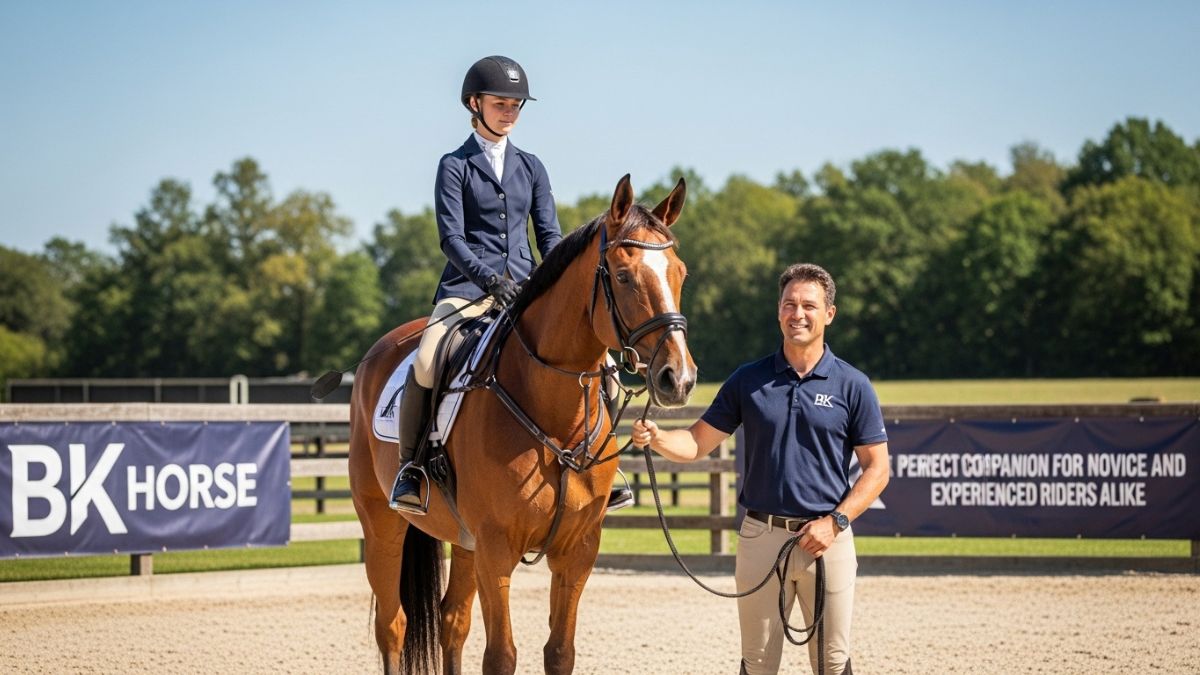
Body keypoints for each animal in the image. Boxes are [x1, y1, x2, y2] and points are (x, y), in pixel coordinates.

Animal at [348, 174, 696, 674]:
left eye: (680, 274)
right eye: (624, 276)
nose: (678, 379)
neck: (557, 419)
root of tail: (380, 351)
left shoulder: (577, 550)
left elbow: (560, 651)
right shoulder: (497, 548)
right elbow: (501, 656)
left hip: (464, 540)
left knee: (452, 621)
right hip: (382, 522)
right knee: (392, 626)